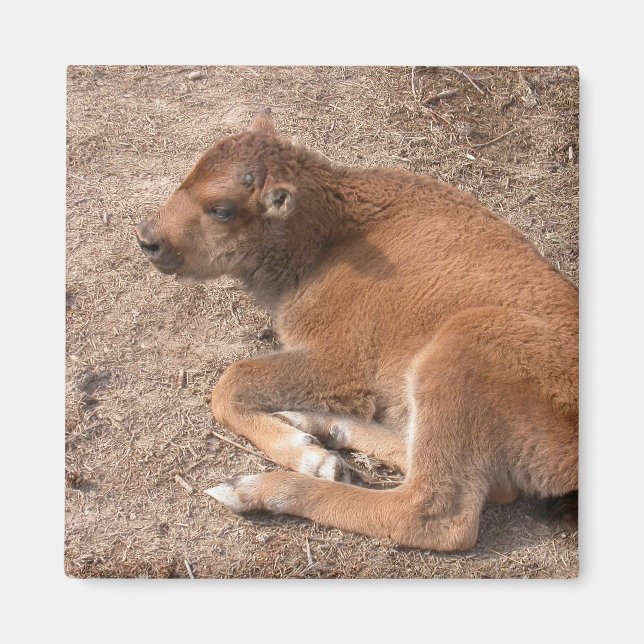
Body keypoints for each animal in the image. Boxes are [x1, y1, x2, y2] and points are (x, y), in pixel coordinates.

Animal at [135, 109, 578, 551]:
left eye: (221, 209)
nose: (147, 239)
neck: (333, 236)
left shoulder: (340, 362)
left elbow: (231, 382)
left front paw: (307, 457)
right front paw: (314, 449)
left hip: (461, 348)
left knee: (434, 512)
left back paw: (257, 487)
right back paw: (316, 424)